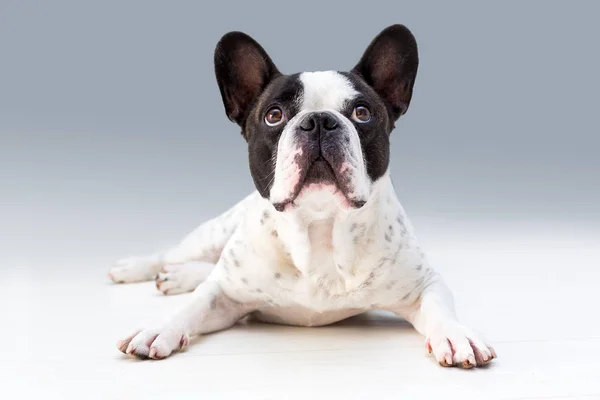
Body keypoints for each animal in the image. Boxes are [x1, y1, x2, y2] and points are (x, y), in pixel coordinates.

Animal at [109, 24, 496, 368]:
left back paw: (178, 275)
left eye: (362, 113)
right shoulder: (225, 295)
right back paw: (140, 268)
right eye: (274, 115)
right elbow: (195, 303)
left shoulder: (423, 284)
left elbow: (439, 307)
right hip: (213, 233)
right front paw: (158, 328)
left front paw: (456, 335)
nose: (320, 120)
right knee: (176, 256)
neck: (320, 229)